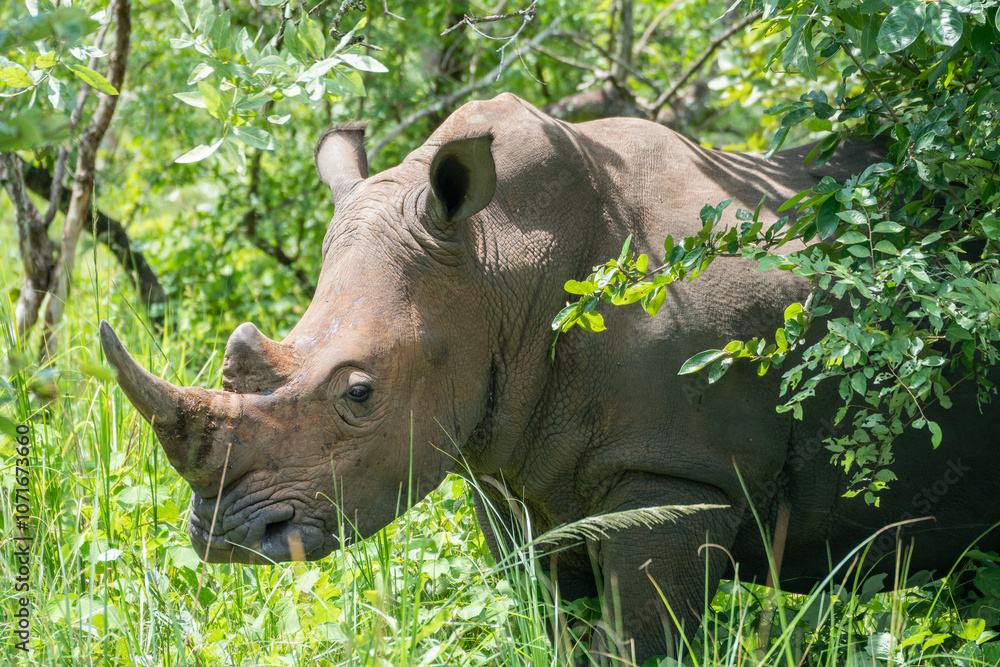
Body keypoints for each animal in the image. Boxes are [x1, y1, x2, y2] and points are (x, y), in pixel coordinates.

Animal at [100, 93, 1000, 662]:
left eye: (359, 394)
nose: (226, 538)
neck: (498, 263)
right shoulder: (506, 465)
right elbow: (550, 619)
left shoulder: (676, 475)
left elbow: (642, 638)